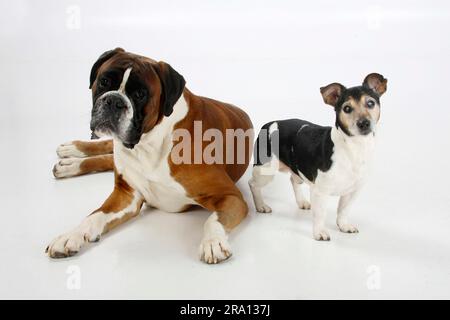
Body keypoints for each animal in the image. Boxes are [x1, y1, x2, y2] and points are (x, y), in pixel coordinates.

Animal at [48, 47, 255, 262]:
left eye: (140, 94)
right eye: (104, 81)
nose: (114, 100)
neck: (148, 144)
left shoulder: (231, 196)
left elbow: (213, 220)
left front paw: (213, 242)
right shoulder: (126, 196)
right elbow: (94, 216)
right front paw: (70, 235)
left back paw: (69, 162)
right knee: (108, 148)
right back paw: (72, 154)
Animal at [250, 73, 386, 240]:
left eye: (370, 103)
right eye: (347, 108)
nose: (364, 123)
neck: (354, 148)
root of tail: (269, 124)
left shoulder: (353, 191)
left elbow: (343, 210)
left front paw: (344, 226)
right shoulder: (320, 192)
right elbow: (320, 214)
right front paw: (320, 232)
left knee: (293, 180)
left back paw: (301, 202)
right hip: (265, 171)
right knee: (253, 184)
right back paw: (261, 205)